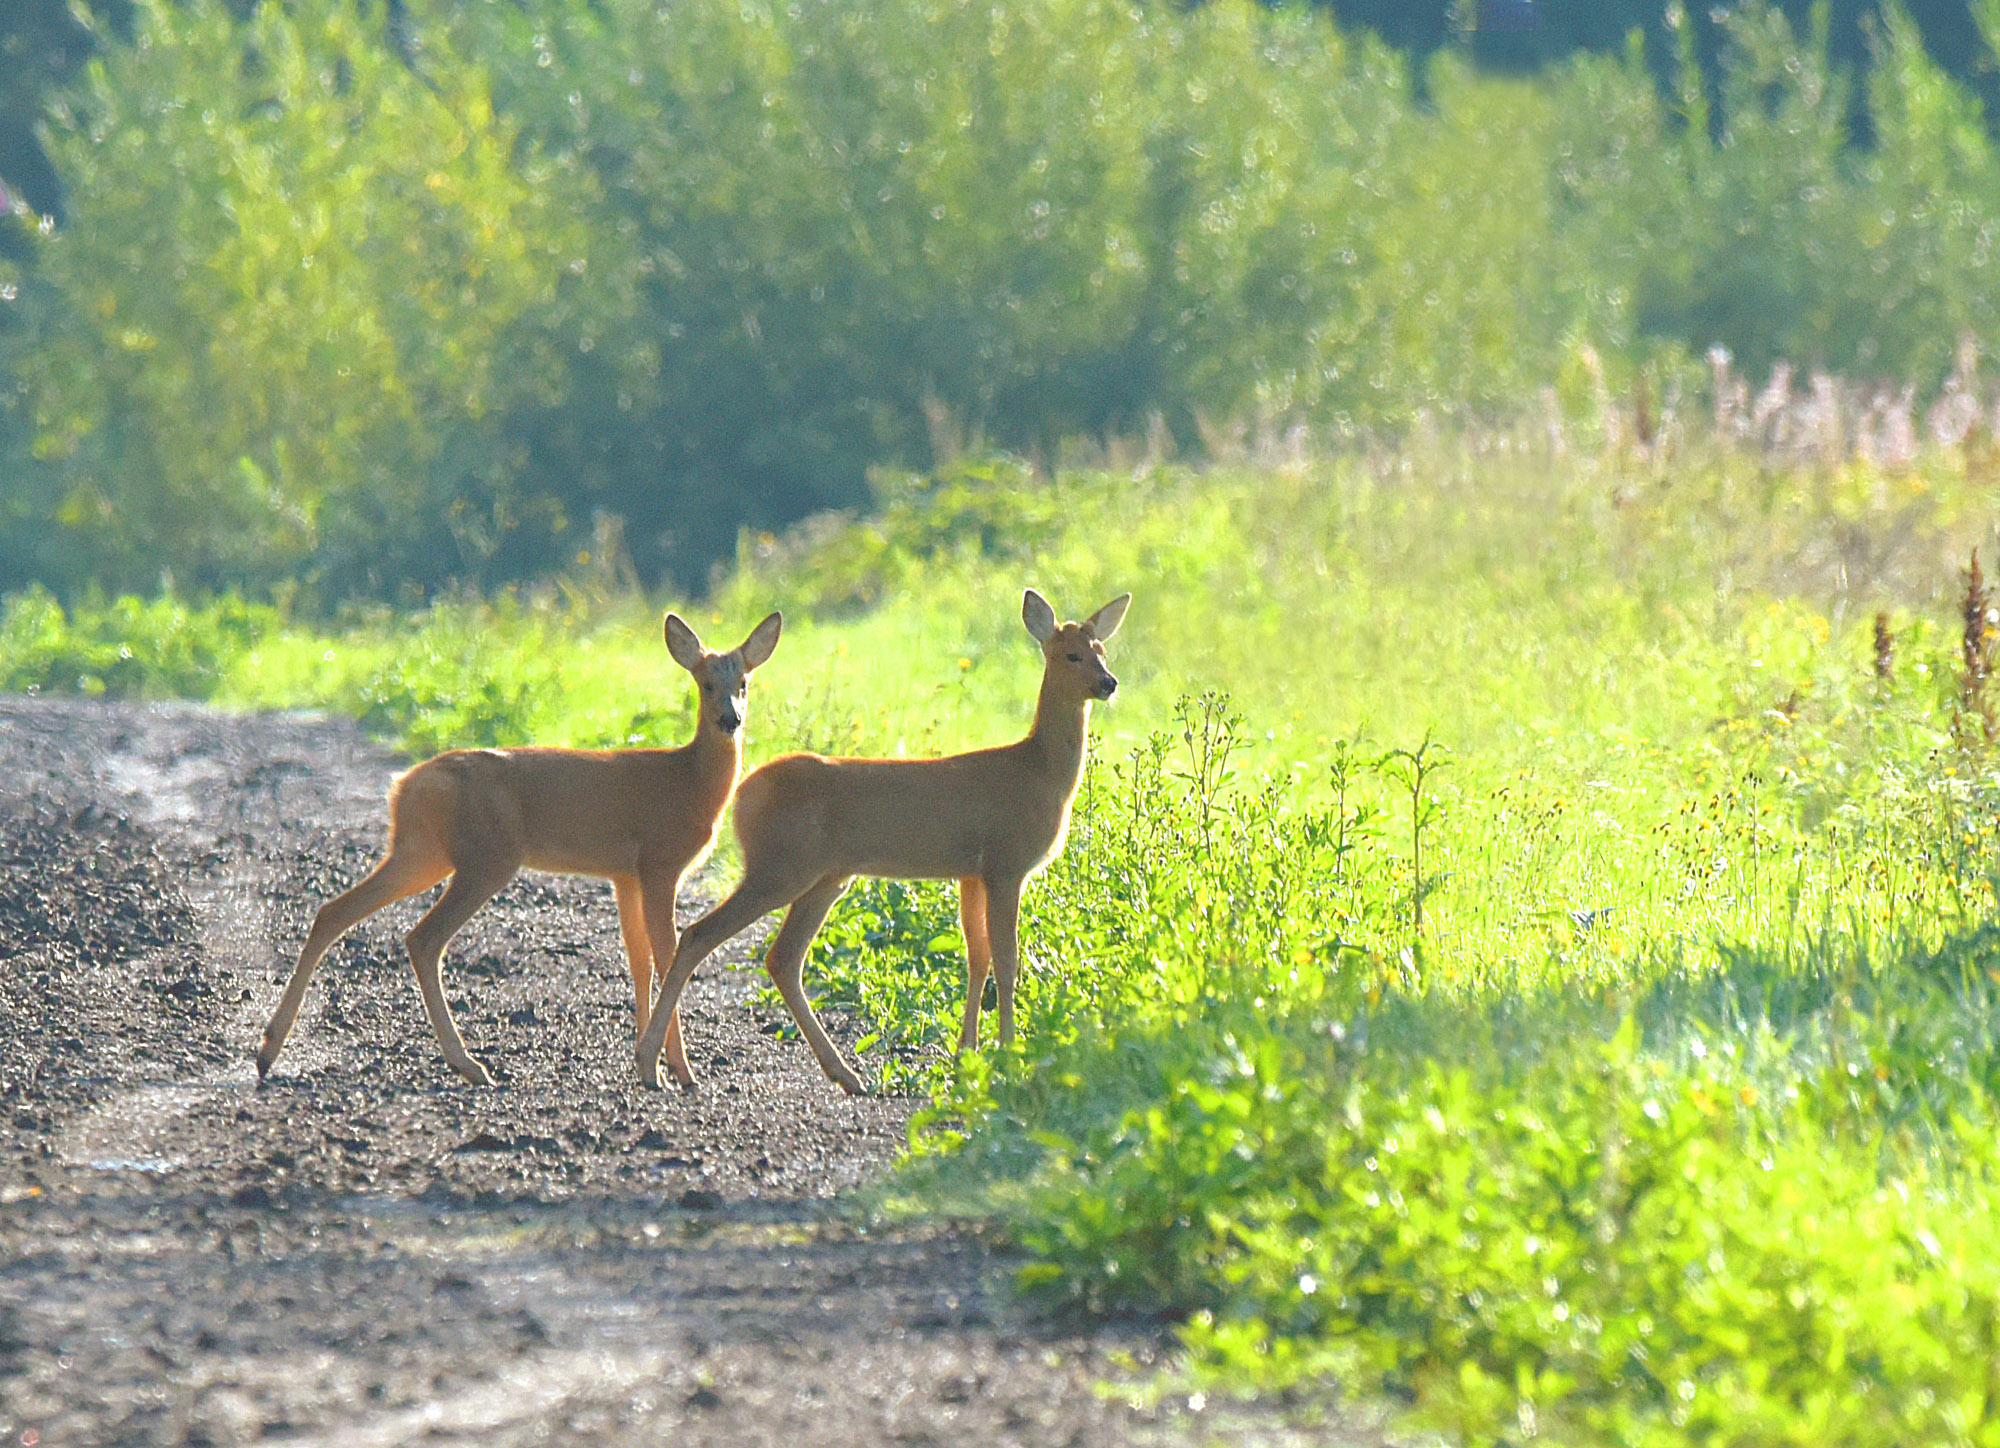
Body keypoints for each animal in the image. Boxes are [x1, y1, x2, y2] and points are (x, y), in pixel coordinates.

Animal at [252, 608, 780, 1088]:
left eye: (744, 683)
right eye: (705, 683)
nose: (730, 719)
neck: (689, 783)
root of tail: (403, 786)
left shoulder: (625, 874)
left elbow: (640, 961)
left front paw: (648, 1062)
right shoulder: (659, 862)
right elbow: (668, 956)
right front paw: (676, 1072)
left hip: (420, 853)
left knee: (333, 912)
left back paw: (268, 1049)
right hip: (487, 856)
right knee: (422, 938)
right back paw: (468, 1065)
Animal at [636, 588, 1128, 1096]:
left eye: (1103, 651)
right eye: (1071, 655)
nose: (1108, 683)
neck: (1037, 773)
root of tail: (742, 795)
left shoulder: (972, 871)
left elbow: (977, 957)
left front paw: (966, 1057)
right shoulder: (1007, 863)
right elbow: (1007, 961)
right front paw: (1010, 1057)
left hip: (825, 877)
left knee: (782, 958)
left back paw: (844, 1073)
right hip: (780, 866)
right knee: (699, 935)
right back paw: (653, 1065)